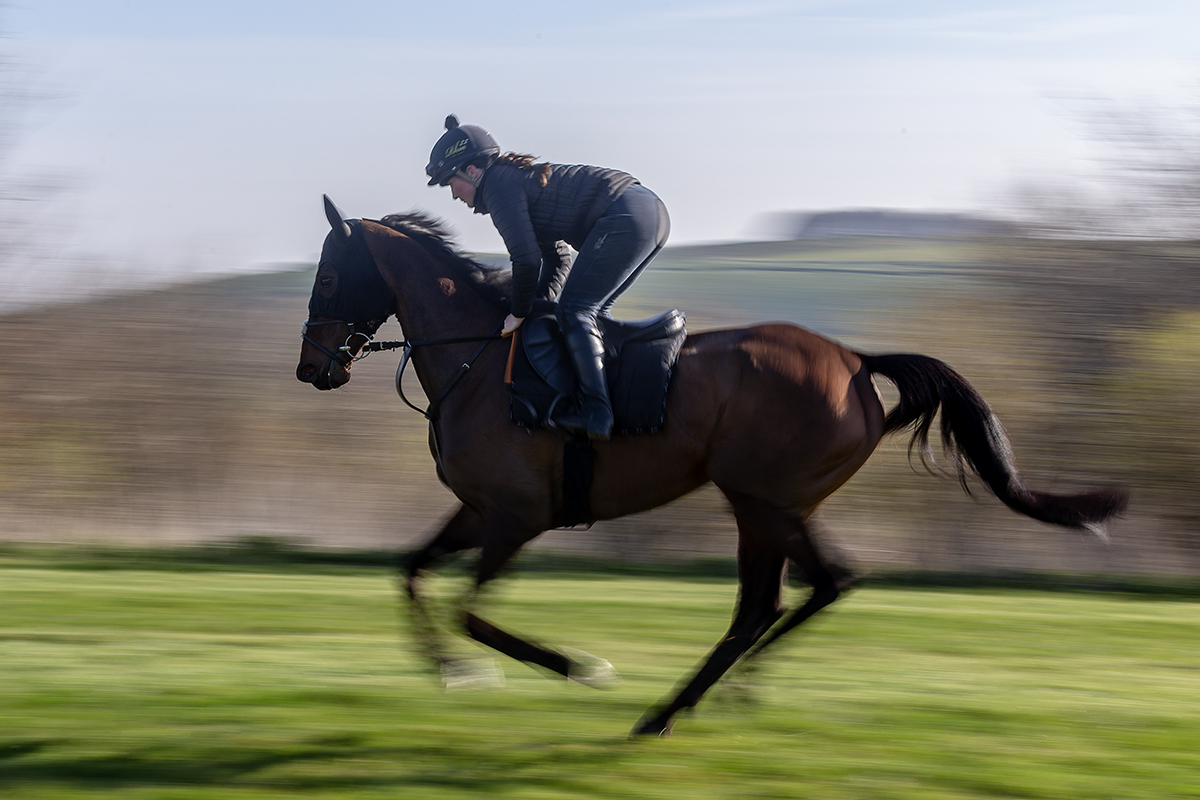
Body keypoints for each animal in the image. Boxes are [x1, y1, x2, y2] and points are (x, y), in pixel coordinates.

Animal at [296, 197, 1128, 737]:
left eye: (329, 278)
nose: (311, 369)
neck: (472, 365)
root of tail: (857, 362)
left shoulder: (516, 517)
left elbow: (471, 611)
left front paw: (576, 667)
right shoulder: (477, 511)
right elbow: (410, 571)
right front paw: (453, 672)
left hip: (763, 500)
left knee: (820, 585)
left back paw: (672, 708)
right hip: (765, 508)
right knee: (775, 601)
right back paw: (704, 700)